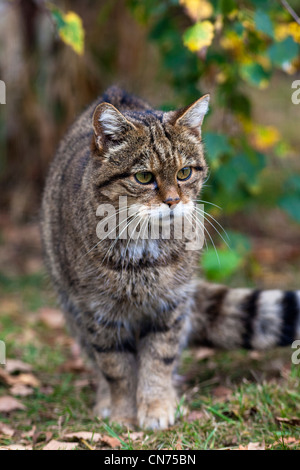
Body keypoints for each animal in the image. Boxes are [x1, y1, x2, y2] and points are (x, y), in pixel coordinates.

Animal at [41, 86, 300, 432]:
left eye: (184, 173)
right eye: (143, 176)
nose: (173, 201)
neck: (143, 252)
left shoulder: (170, 305)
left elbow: (158, 361)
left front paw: (156, 407)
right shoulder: (99, 313)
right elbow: (116, 368)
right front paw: (123, 414)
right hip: (72, 309)